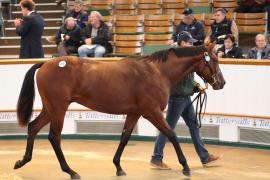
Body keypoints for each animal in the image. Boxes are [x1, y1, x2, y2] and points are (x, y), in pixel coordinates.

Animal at [14, 43, 226, 179]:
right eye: (215, 60)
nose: (222, 83)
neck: (157, 72)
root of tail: (46, 63)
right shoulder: (152, 112)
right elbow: (171, 134)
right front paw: (185, 167)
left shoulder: (134, 113)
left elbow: (125, 137)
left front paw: (118, 167)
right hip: (58, 108)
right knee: (54, 137)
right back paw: (71, 171)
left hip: (51, 108)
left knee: (33, 127)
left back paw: (22, 161)